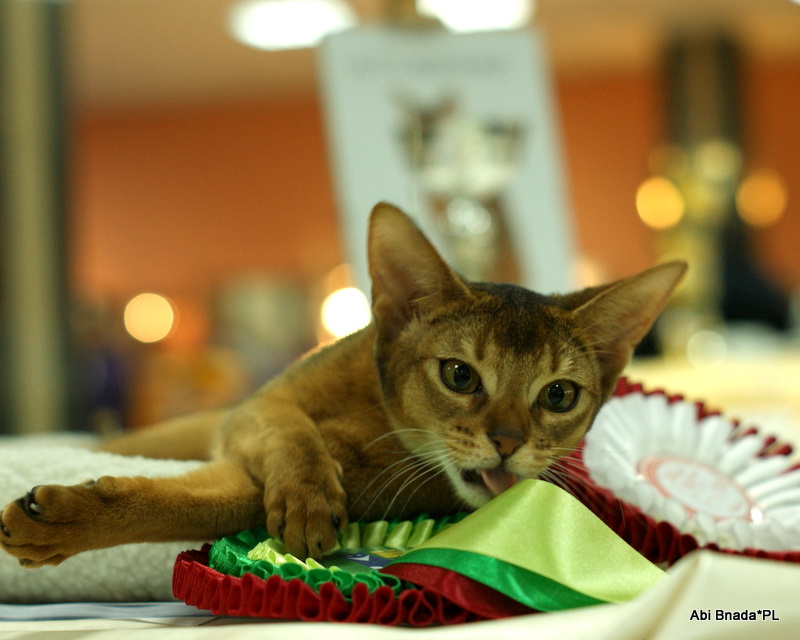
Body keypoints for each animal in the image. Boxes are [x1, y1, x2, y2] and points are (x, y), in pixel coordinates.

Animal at [0, 202, 685, 566]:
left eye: (559, 395)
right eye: (459, 375)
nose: (509, 443)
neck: (377, 426)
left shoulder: (251, 477)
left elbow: (201, 504)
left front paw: (54, 522)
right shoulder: (256, 410)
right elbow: (291, 434)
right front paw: (306, 498)